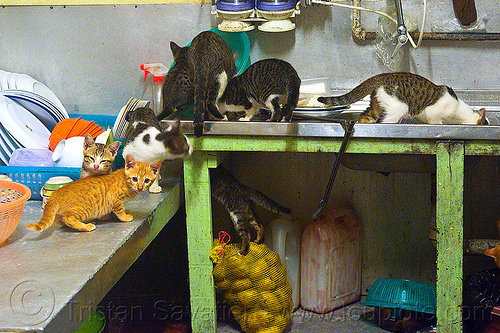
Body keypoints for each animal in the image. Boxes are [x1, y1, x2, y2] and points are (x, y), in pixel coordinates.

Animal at [26, 153, 160, 231]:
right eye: (135, 179)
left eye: (146, 180)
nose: (140, 187)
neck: (126, 183)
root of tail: (56, 193)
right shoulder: (113, 198)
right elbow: (119, 209)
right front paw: (125, 216)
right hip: (83, 209)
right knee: (69, 218)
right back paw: (85, 226)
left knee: (61, 219)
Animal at [318, 71, 486, 124]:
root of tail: (381, 76)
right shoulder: (434, 113)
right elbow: (437, 121)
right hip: (397, 108)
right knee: (383, 121)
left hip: (377, 105)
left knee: (364, 116)